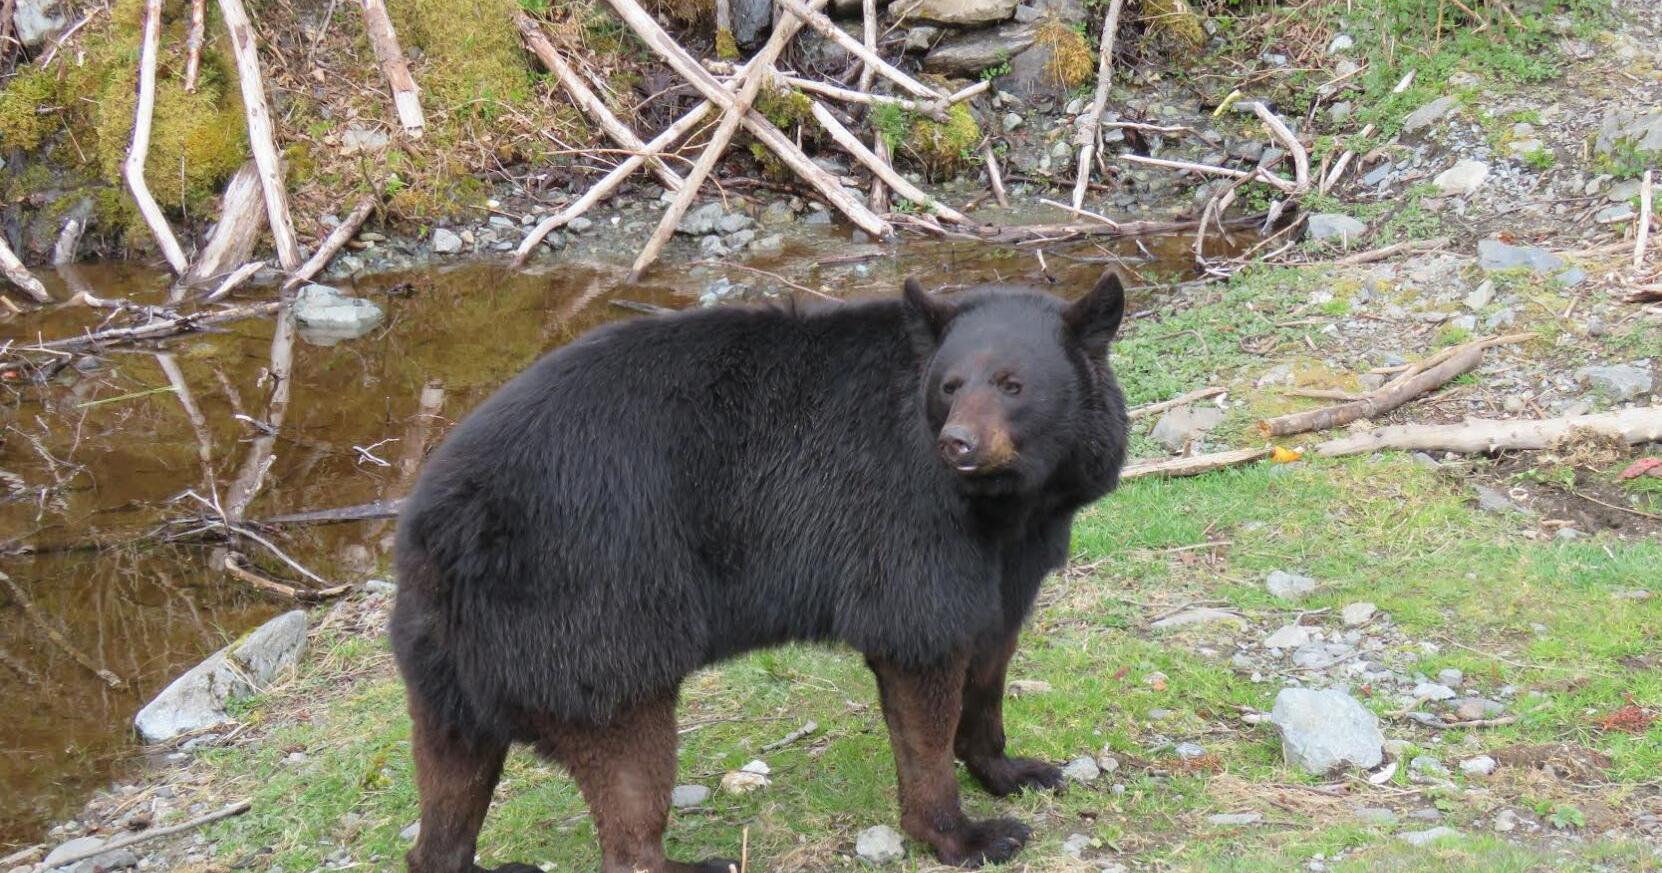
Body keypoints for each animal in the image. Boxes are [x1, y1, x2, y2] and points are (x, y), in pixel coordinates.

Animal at [389, 271, 1130, 873]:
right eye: (949, 387)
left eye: (1012, 384)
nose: (958, 444)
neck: (1003, 505)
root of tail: (436, 524)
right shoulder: (907, 522)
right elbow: (920, 654)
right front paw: (964, 834)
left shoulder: (1014, 554)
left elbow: (990, 654)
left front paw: (1012, 768)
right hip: (588, 608)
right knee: (627, 756)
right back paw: (688, 861)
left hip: (444, 653)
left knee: (450, 770)